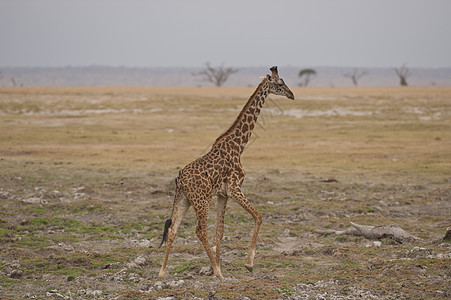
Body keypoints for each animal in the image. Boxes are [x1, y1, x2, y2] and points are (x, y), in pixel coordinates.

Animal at [159, 67, 296, 280]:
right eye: (280, 83)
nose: (292, 94)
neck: (238, 146)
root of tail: (180, 179)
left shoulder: (222, 195)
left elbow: (220, 231)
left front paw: (221, 266)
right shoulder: (234, 188)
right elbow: (258, 216)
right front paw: (247, 264)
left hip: (184, 199)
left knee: (173, 229)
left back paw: (162, 273)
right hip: (201, 200)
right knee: (200, 231)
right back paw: (216, 272)